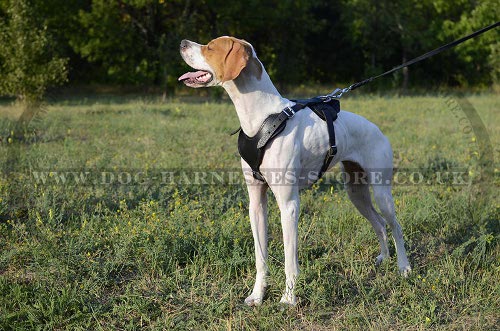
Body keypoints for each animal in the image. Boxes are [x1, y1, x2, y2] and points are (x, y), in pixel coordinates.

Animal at [179, 36, 410, 306]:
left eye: (211, 47)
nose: (183, 42)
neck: (261, 118)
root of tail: (378, 129)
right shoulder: (256, 203)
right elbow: (260, 258)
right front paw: (258, 295)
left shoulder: (289, 204)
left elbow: (290, 261)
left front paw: (289, 299)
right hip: (357, 194)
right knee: (380, 225)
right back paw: (384, 258)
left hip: (382, 193)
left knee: (395, 227)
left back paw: (404, 267)